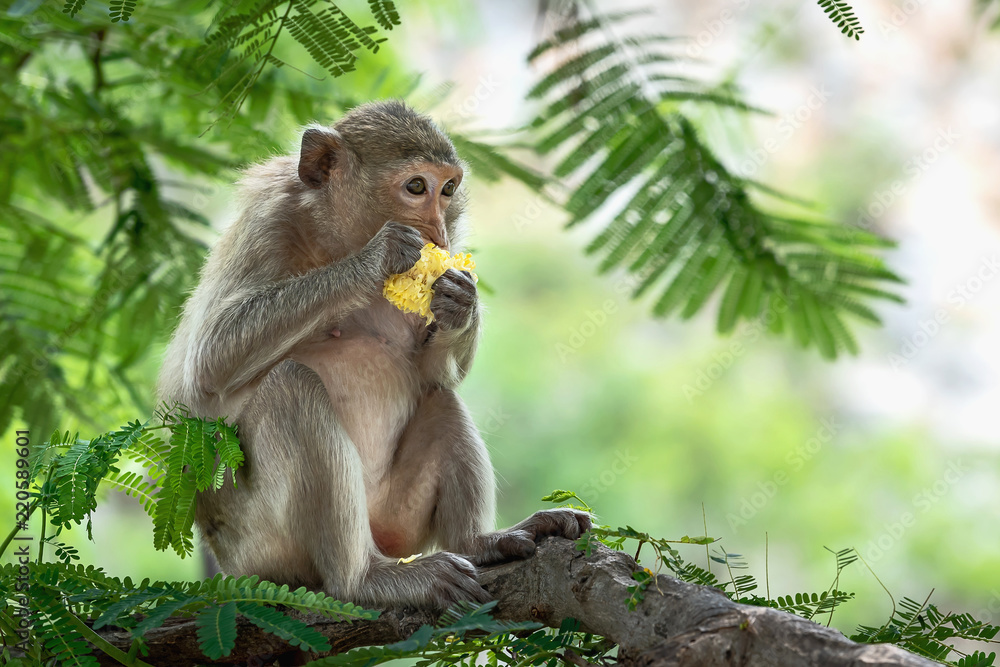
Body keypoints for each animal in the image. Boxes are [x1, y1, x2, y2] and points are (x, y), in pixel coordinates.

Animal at [158, 100, 591, 609]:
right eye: (416, 186)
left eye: (448, 189)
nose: (439, 233)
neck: (333, 239)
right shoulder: (267, 222)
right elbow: (211, 359)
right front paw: (378, 258)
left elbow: (434, 371)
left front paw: (460, 300)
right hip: (262, 546)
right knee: (292, 388)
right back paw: (363, 579)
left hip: (395, 518)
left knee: (439, 396)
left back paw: (478, 543)